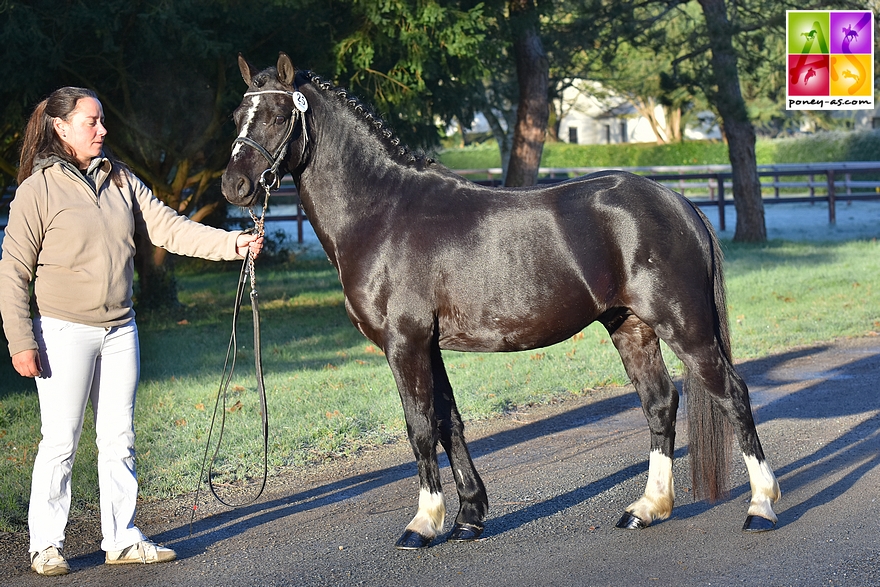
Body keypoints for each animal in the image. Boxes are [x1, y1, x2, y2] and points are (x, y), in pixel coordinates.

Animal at [223, 54, 780, 552]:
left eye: (277, 116)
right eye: (237, 116)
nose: (235, 185)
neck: (382, 212)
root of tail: (679, 202)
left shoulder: (405, 343)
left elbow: (420, 426)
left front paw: (423, 523)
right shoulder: (429, 345)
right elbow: (448, 423)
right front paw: (469, 517)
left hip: (685, 328)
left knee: (733, 394)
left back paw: (761, 506)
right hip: (631, 327)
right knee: (660, 403)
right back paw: (647, 508)